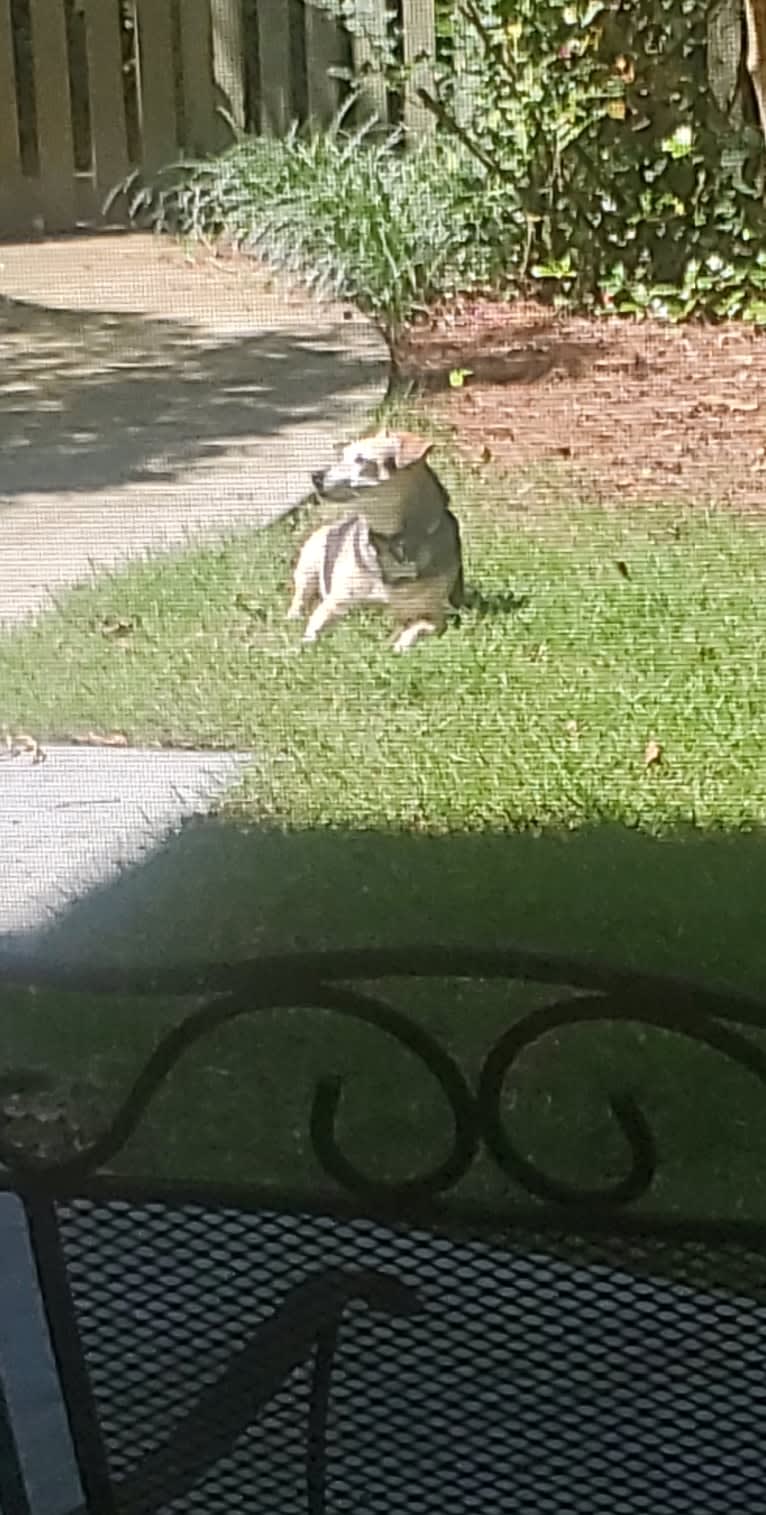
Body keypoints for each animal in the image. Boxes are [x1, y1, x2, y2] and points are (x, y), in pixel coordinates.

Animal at [287, 427, 463, 651]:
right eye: (342, 456)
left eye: (361, 460)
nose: (316, 476)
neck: (393, 541)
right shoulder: (336, 604)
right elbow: (314, 628)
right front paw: (301, 647)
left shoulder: (434, 617)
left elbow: (415, 630)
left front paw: (399, 646)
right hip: (309, 562)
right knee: (300, 595)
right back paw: (293, 616)